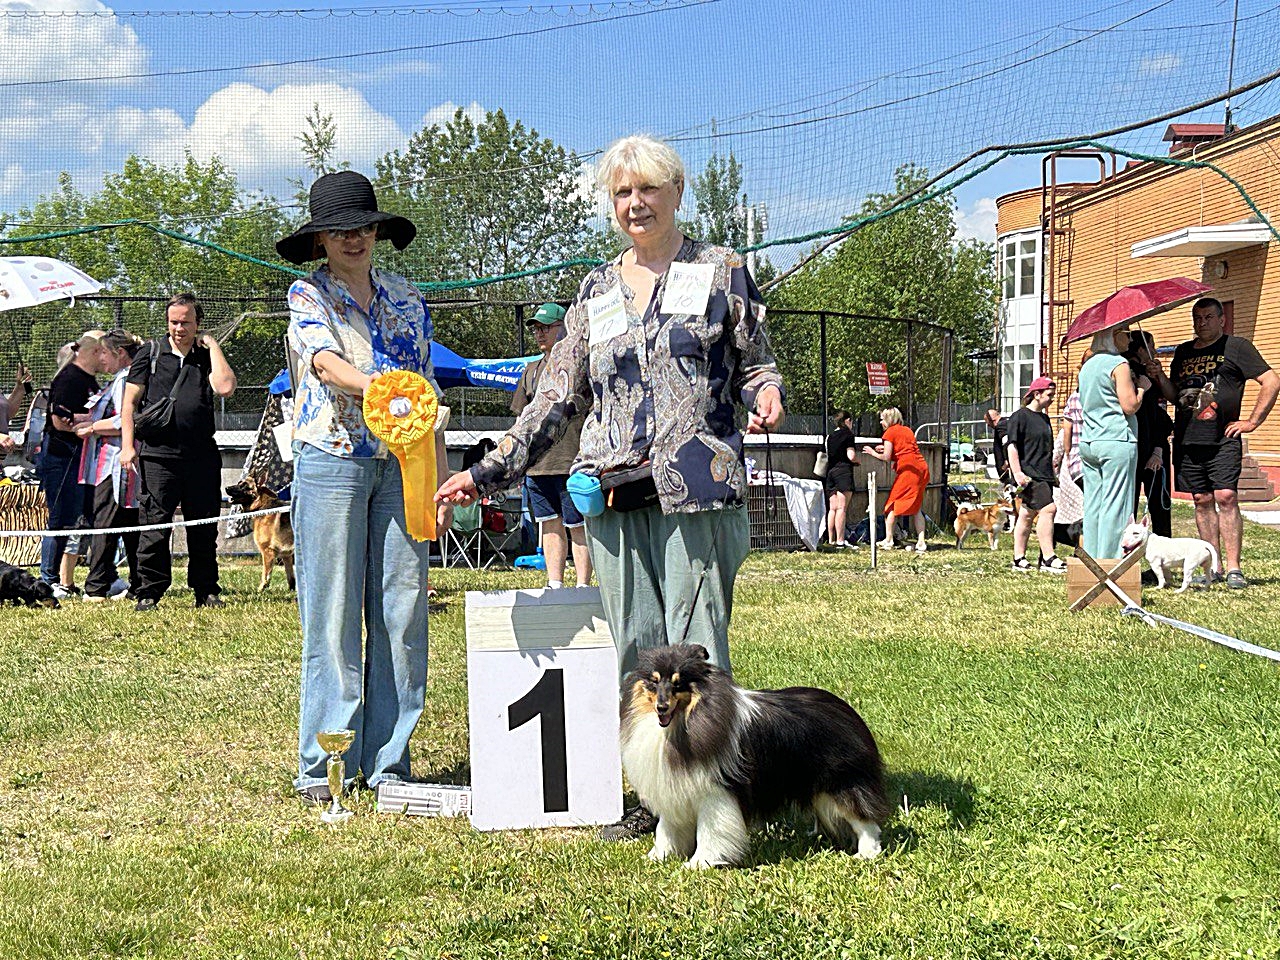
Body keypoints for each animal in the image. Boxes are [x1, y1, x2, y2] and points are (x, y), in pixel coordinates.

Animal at [619, 647, 890, 870]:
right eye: (654, 682)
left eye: (678, 684)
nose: (661, 708)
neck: (683, 721)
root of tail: (847, 710)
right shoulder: (675, 787)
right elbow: (665, 829)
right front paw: (657, 857)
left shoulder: (715, 794)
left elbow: (709, 833)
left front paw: (699, 864)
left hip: (844, 782)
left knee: (865, 820)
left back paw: (866, 853)